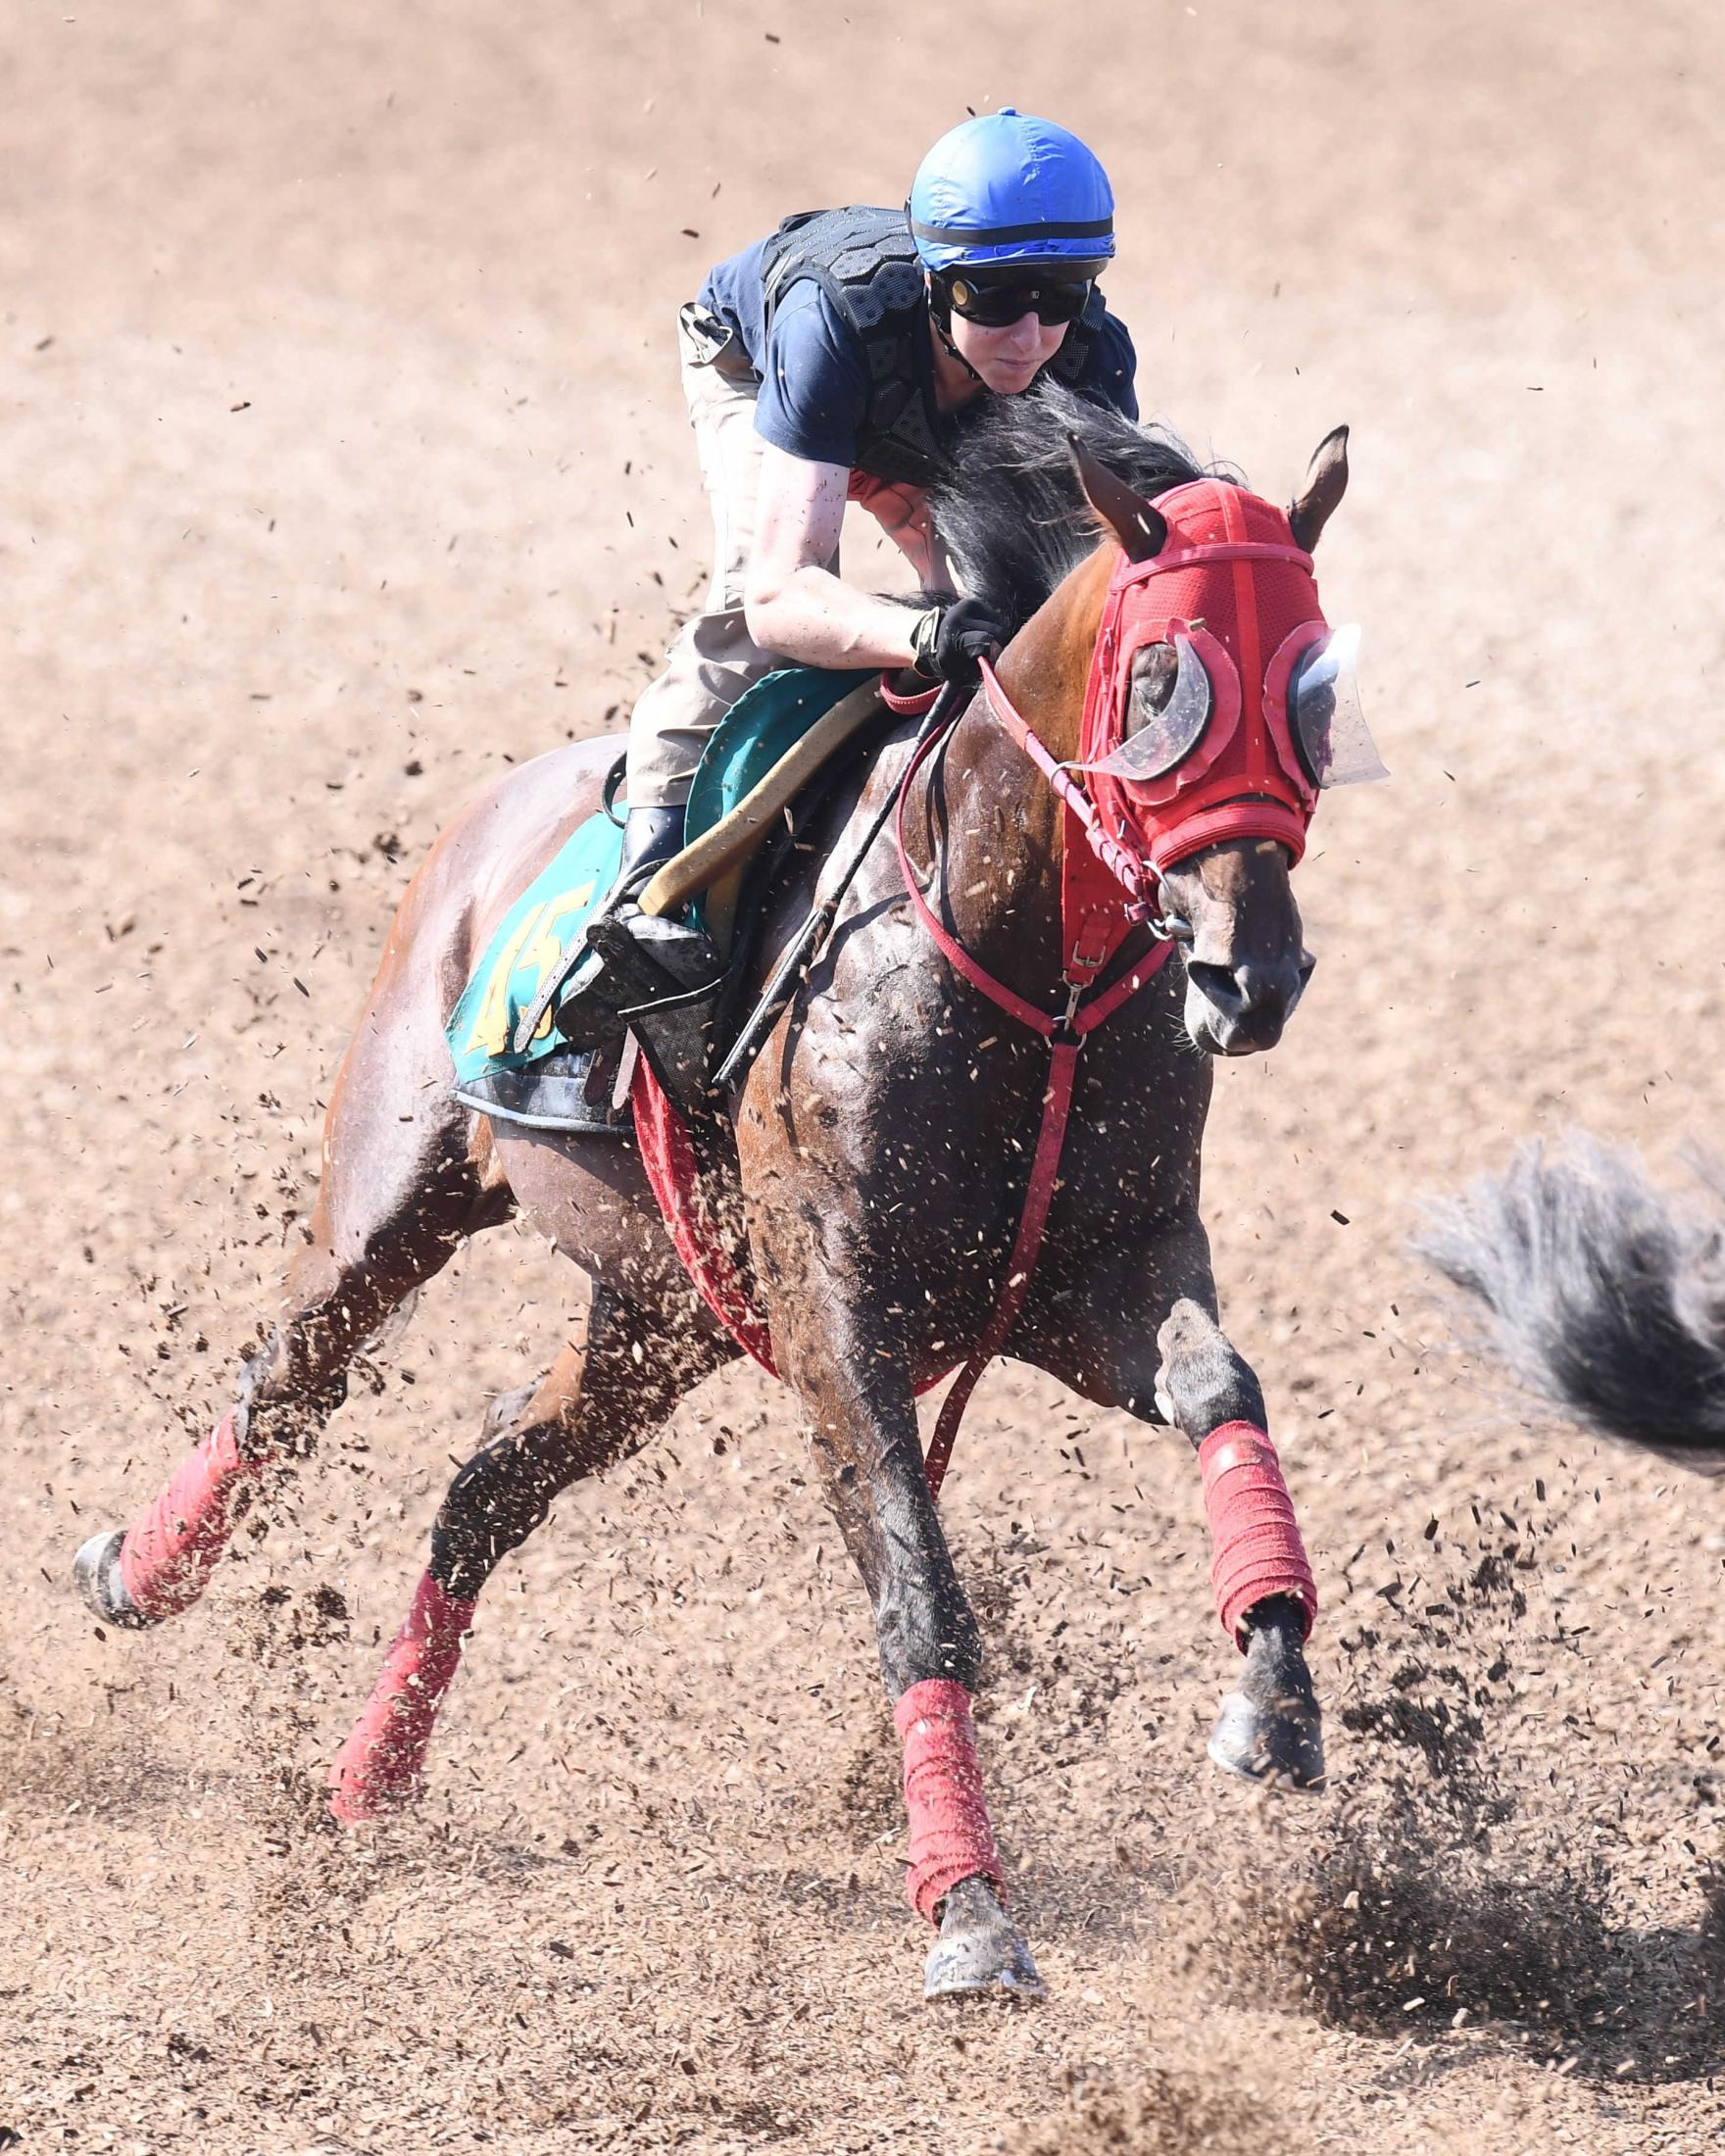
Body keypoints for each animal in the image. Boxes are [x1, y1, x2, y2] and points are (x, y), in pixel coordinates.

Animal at [74, 388, 1371, 2000]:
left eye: (1313, 691)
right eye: (1157, 684)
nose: (1251, 976)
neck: (1028, 964)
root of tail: (498, 808)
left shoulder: (1100, 1271)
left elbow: (1219, 1393)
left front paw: (1275, 1702)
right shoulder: (837, 1321)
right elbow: (915, 1586)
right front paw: (969, 1911)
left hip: (660, 1313)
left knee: (488, 1481)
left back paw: (371, 1777)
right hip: (400, 1189)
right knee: (290, 1384)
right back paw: (137, 1572)